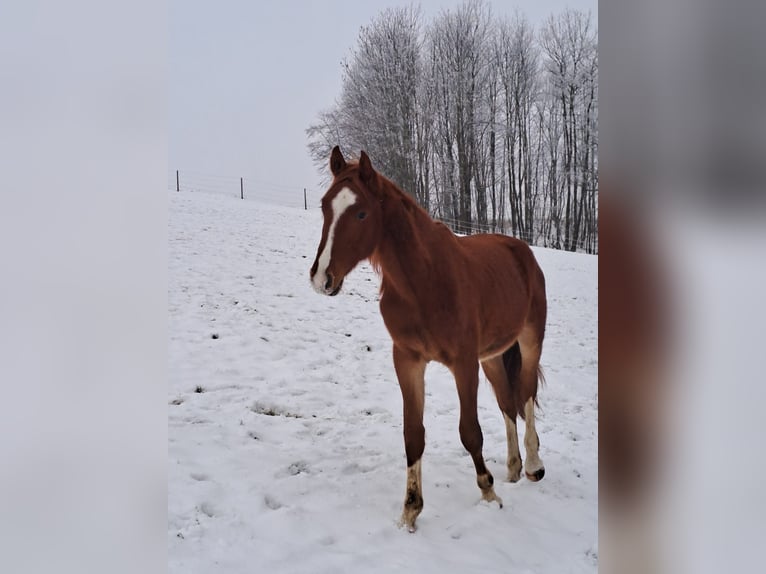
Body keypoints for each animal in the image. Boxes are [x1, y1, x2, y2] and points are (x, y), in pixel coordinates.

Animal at [309, 146, 547, 532]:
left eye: (361, 212)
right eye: (324, 207)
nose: (321, 278)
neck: (424, 281)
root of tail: (521, 250)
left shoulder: (463, 363)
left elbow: (470, 431)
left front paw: (488, 493)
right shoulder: (408, 360)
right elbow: (413, 434)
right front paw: (410, 509)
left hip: (529, 341)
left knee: (524, 393)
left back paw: (533, 465)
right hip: (492, 357)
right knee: (507, 404)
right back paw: (512, 468)